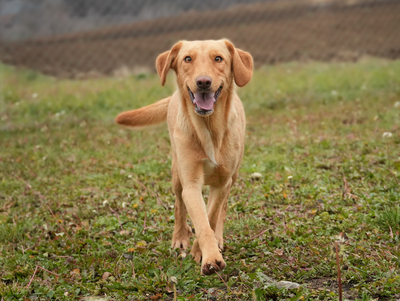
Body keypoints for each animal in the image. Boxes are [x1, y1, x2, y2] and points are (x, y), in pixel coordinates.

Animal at [116, 39, 253, 274]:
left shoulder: (222, 181)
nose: (203, 82)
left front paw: (203, 251)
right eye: (187, 59)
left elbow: (211, 216)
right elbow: (200, 220)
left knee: (223, 209)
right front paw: (208, 257)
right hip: (176, 173)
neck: (209, 130)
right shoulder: (190, 182)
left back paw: (218, 237)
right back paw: (180, 237)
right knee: (179, 205)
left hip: (233, 176)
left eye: (218, 58)